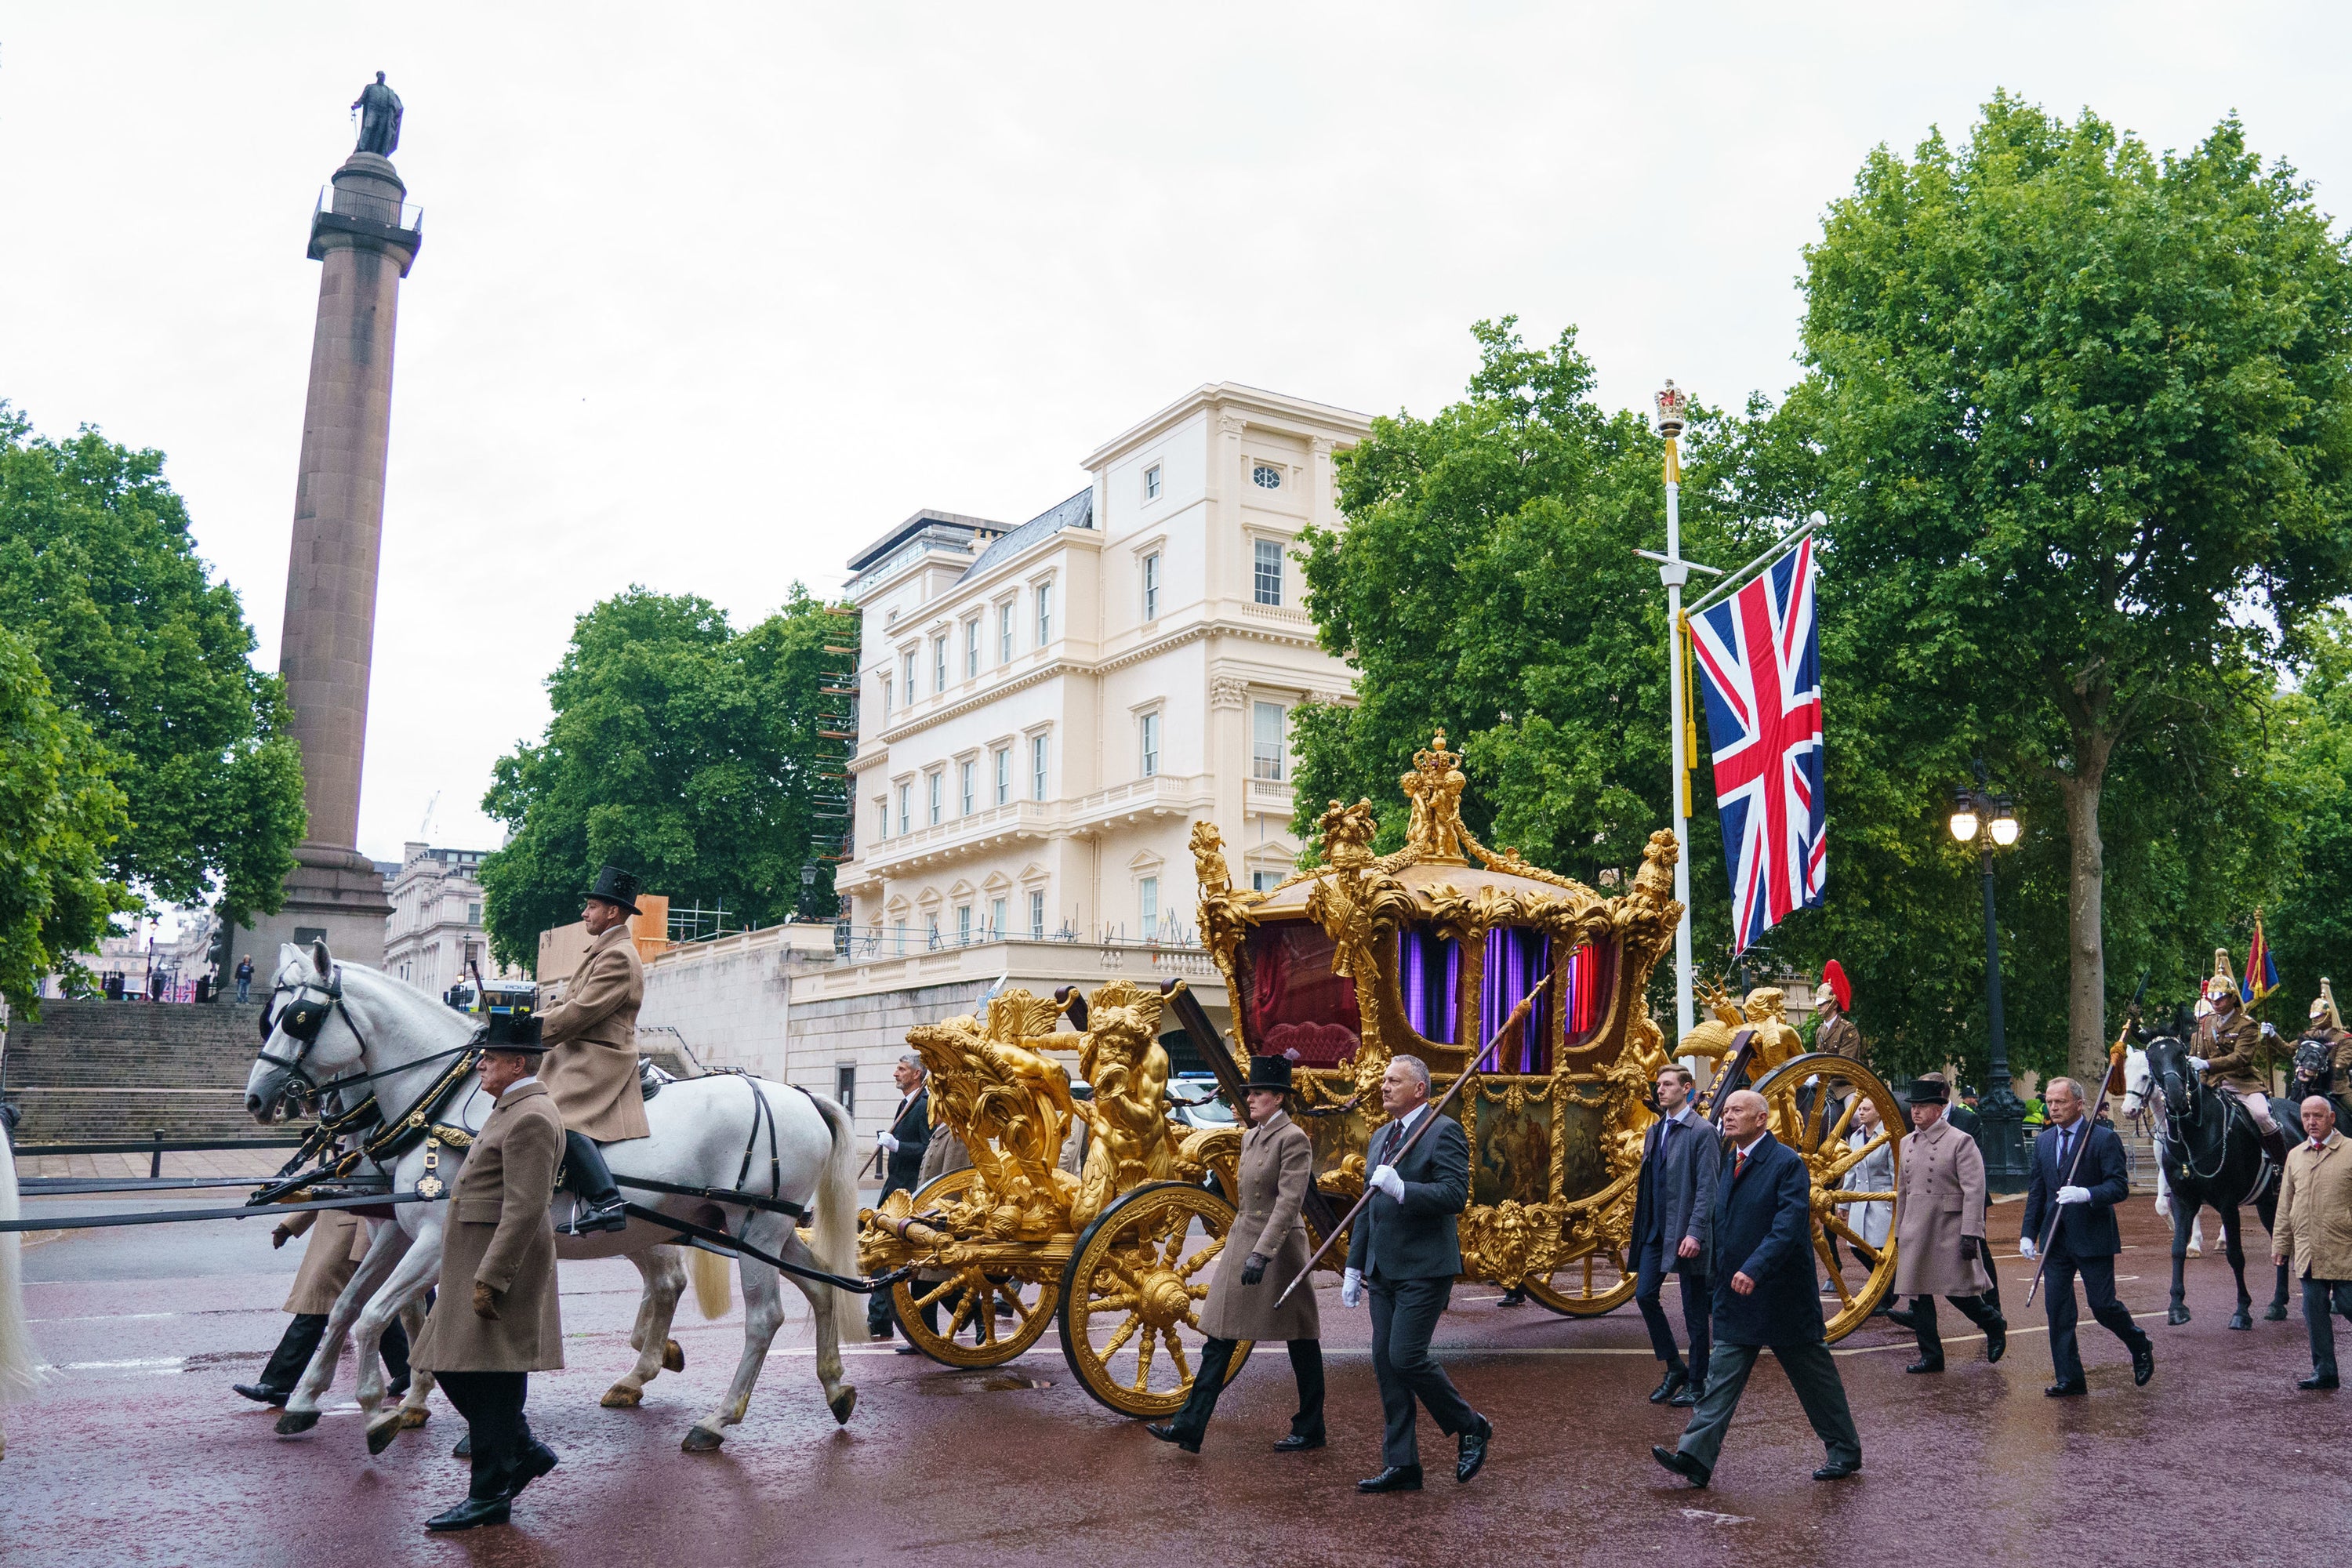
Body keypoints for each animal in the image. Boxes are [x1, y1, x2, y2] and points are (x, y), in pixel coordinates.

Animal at [250, 940, 856, 1457]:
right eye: (271, 1015)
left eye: (297, 1018)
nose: (257, 1098)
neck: (442, 1106)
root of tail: (800, 1094)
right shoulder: (399, 1230)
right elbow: (349, 1307)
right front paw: (308, 1400)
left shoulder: (436, 1238)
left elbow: (377, 1314)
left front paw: (382, 1411)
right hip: (758, 1230)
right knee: (819, 1287)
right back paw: (831, 1385)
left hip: (753, 1228)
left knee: (762, 1317)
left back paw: (717, 1418)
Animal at [2117, 1048, 2201, 1260]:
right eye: (2125, 1075)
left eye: (2145, 1076)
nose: (2128, 1110)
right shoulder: (2166, 1170)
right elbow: (2161, 1206)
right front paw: (2178, 1230)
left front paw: (2194, 1244)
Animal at [2145, 1034, 2286, 1335]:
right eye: (2152, 1059)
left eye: (2181, 1054)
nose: (2176, 1097)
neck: (2193, 1135)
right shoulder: (2183, 1199)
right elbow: (2177, 1249)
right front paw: (2177, 1308)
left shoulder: (2227, 1202)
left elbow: (2236, 1255)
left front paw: (2242, 1311)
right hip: (2270, 1205)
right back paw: (2278, 1304)